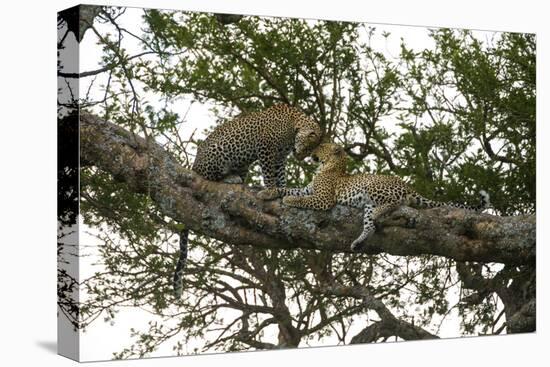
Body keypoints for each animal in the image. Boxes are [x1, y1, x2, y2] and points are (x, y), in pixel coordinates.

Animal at [174, 103, 324, 300]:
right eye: (307, 149)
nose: (299, 157)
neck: (294, 126)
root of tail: (194, 165)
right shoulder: (266, 148)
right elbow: (268, 173)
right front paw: (269, 190)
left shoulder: (280, 157)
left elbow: (280, 175)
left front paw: (280, 190)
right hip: (222, 151)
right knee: (208, 176)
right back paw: (230, 179)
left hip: (242, 163)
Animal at [258, 142, 492, 252]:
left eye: (322, 146)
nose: (311, 152)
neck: (330, 167)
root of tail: (408, 186)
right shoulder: (308, 190)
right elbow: (287, 189)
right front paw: (267, 191)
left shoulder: (324, 198)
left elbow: (300, 199)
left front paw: (289, 201)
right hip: (373, 205)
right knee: (377, 222)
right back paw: (361, 240)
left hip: (373, 189)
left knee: (392, 204)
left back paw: (381, 215)